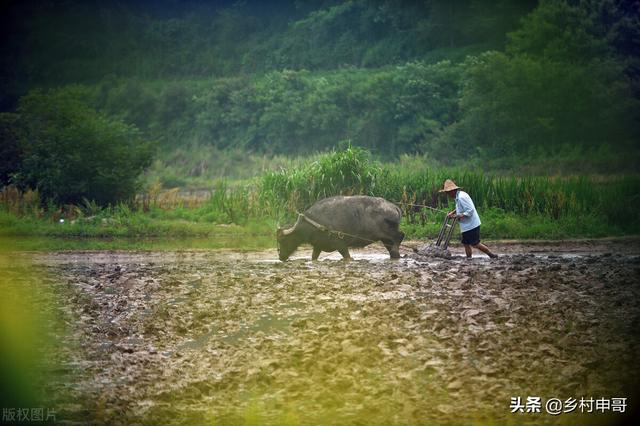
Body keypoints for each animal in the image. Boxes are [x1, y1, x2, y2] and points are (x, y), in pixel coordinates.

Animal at [276, 196, 404, 262]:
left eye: (283, 240)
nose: (281, 257)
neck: (316, 223)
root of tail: (394, 207)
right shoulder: (318, 246)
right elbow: (313, 257)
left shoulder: (340, 244)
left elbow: (347, 256)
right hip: (385, 238)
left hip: (388, 232)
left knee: (400, 236)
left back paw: (395, 251)